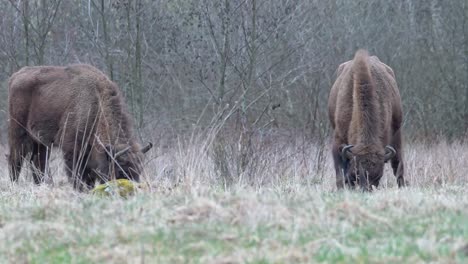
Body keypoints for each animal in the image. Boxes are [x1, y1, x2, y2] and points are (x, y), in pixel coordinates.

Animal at [7, 65, 153, 191]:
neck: (97, 105)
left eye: (138, 170)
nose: (132, 186)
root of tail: (16, 76)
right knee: (16, 160)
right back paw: (14, 184)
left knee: (37, 163)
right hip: (19, 133)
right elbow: (77, 175)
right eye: (119, 169)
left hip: (41, 142)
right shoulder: (73, 150)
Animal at [330, 50, 406, 190]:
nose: (365, 189)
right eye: (356, 173)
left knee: (398, 164)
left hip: (397, 135)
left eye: (378, 175)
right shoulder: (338, 140)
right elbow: (340, 173)